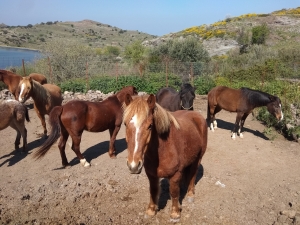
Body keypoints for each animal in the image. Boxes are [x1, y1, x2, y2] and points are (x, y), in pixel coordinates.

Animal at [123, 93, 207, 221]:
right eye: (125, 124)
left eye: (150, 126)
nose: (134, 166)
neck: (163, 149)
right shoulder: (152, 175)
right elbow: (153, 190)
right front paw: (151, 211)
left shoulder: (175, 174)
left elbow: (174, 192)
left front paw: (175, 213)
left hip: (198, 158)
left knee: (193, 173)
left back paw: (190, 194)